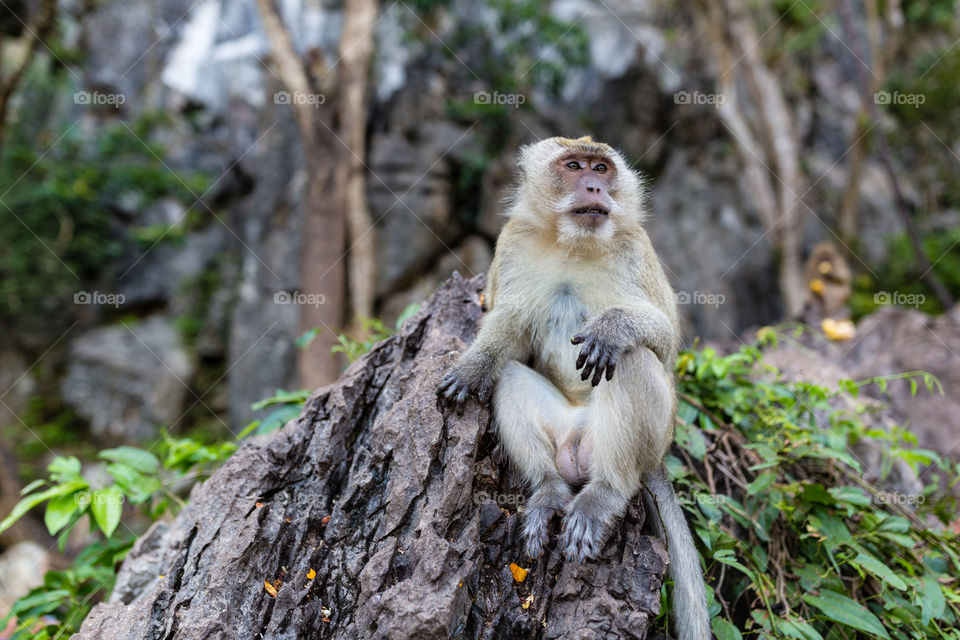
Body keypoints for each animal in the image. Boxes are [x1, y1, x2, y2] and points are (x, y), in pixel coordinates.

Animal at [438, 135, 708, 640]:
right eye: (575, 166)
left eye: (602, 168)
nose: (594, 187)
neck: (572, 245)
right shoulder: (512, 243)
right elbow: (508, 328)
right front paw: (473, 366)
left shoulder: (636, 249)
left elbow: (664, 341)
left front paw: (613, 327)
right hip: (563, 429)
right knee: (511, 377)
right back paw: (547, 491)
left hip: (645, 438)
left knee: (632, 362)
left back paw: (605, 494)